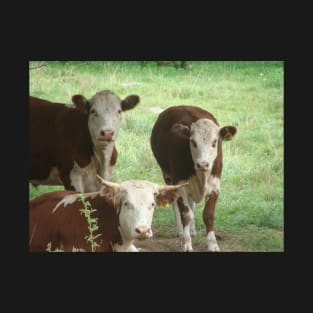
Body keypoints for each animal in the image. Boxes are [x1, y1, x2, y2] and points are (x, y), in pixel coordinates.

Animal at [149, 105, 236, 251]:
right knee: (176, 204)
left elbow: (208, 215)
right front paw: (186, 242)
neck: (201, 176)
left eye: (214, 142)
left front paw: (212, 244)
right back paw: (180, 230)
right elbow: (186, 214)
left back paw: (193, 230)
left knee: (192, 204)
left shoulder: (215, 187)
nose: (203, 164)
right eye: (193, 142)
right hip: (168, 175)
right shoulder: (180, 185)